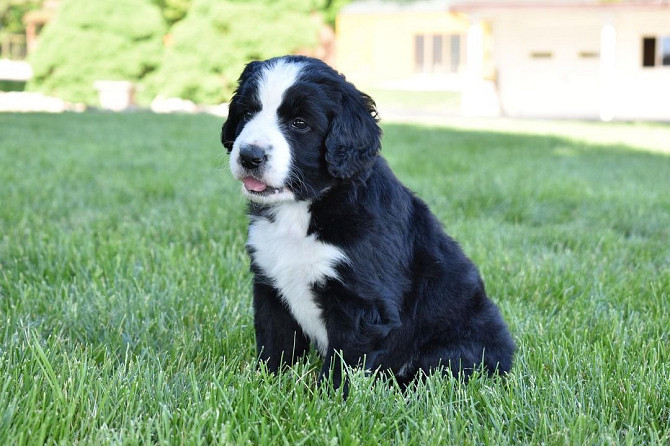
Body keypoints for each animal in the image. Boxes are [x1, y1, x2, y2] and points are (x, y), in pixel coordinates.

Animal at [223, 55, 516, 390]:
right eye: (247, 112)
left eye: (299, 123)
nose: (250, 156)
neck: (302, 210)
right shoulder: (270, 286)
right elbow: (275, 343)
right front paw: (264, 383)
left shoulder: (361, 305)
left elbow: (342, 364)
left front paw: (326, 397)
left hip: (457, 344)